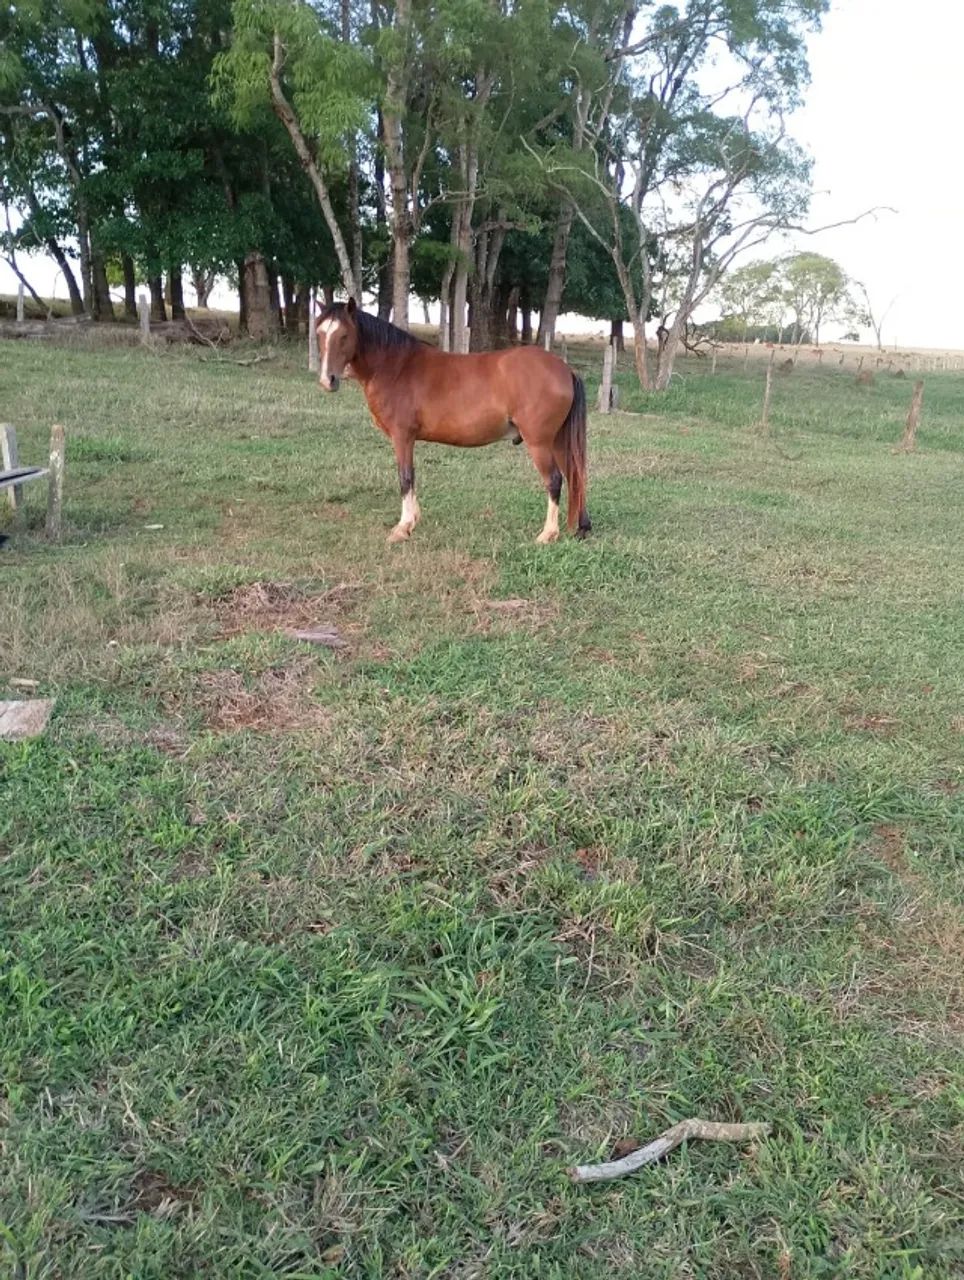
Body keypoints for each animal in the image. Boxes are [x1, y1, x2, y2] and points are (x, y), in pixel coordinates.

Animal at [314, 299, 590, 544]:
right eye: (319, 334)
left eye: (344, 335)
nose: (328, 380)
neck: (397, 367)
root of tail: (565, 369)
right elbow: (411, 476)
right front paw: (413, 520)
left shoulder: (402, 436)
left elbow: (405, 477)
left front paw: (403, 527)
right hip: (558, 441)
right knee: (575, 476)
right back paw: (581, 527)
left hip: (539, 443)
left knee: (554, 480)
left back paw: (548, 534)